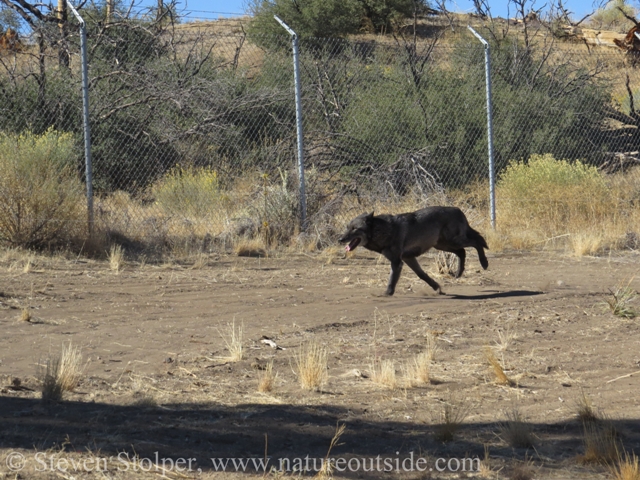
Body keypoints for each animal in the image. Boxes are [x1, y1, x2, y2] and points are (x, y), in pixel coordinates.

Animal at [340, 207, 490, 296]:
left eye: (354, 229)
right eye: (347, 227)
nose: (340, 239)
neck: (383, 230)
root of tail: (458, 209)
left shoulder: (397, 262)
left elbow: (391, 280)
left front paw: (387, 293)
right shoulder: (408, 258)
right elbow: (422, 275)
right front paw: (437, 288)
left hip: (454, 241)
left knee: (477, 242)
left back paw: (484, 263)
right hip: (443, 245)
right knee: (462, 252)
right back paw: (459, 273)